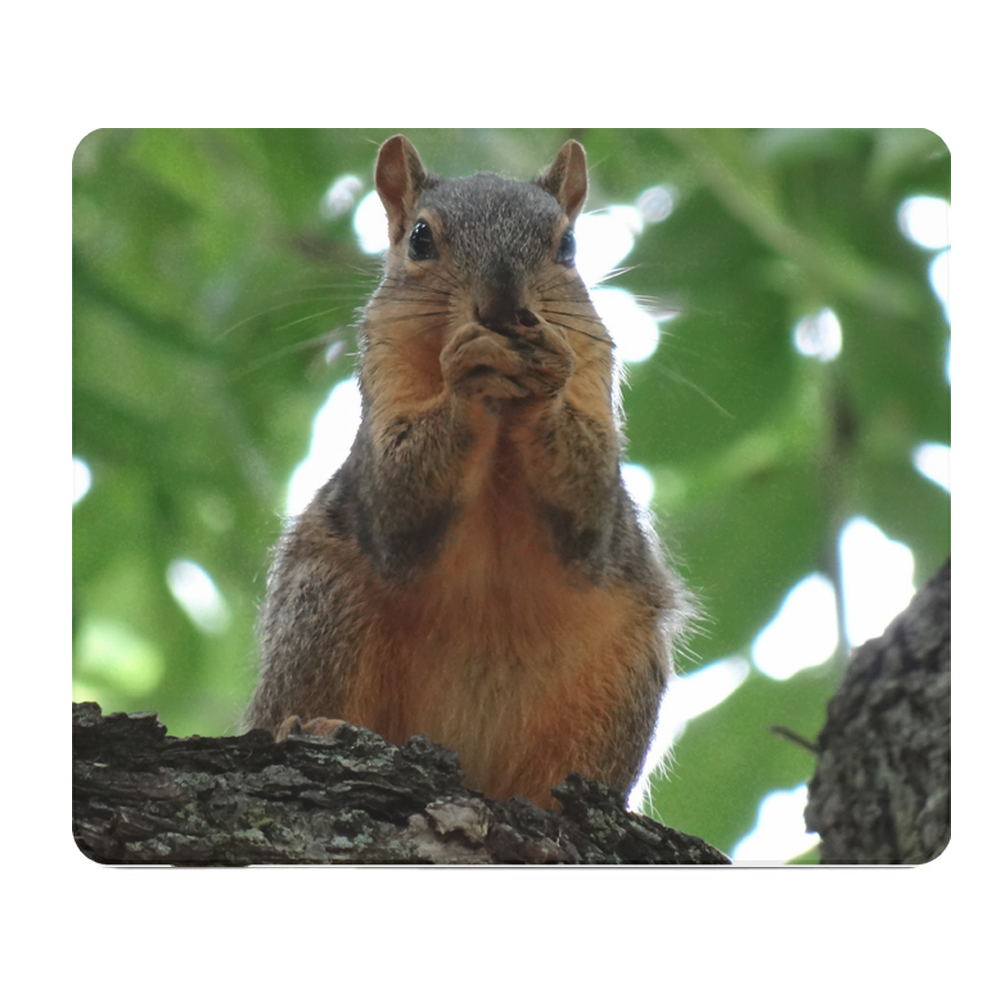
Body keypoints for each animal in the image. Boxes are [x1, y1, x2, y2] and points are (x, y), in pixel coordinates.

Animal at [244, 134, 693, 809]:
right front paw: (466, 377)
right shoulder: (381, 409)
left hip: (620, 677)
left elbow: (591, 514)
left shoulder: (595, 397)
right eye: (419, 239)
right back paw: (309, 724)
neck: (503, 422)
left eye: (568, 245)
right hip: (322, 608)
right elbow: (397, 498)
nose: (504, 308)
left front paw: (544, 377)